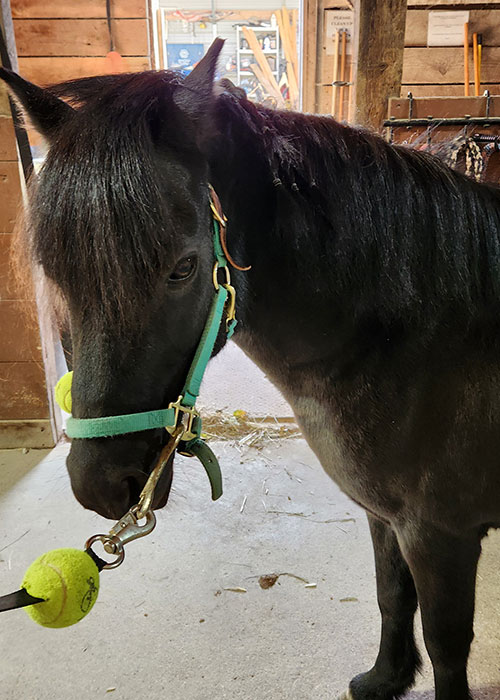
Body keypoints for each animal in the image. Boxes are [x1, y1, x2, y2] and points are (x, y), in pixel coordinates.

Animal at [2, 38, 500, 700]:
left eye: (184, 267)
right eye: (56, 269)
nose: (99, 486)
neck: (421, 341)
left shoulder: (441, 536)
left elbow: (447, 646)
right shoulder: (387, 518)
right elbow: (391, 595)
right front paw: (383, 680)